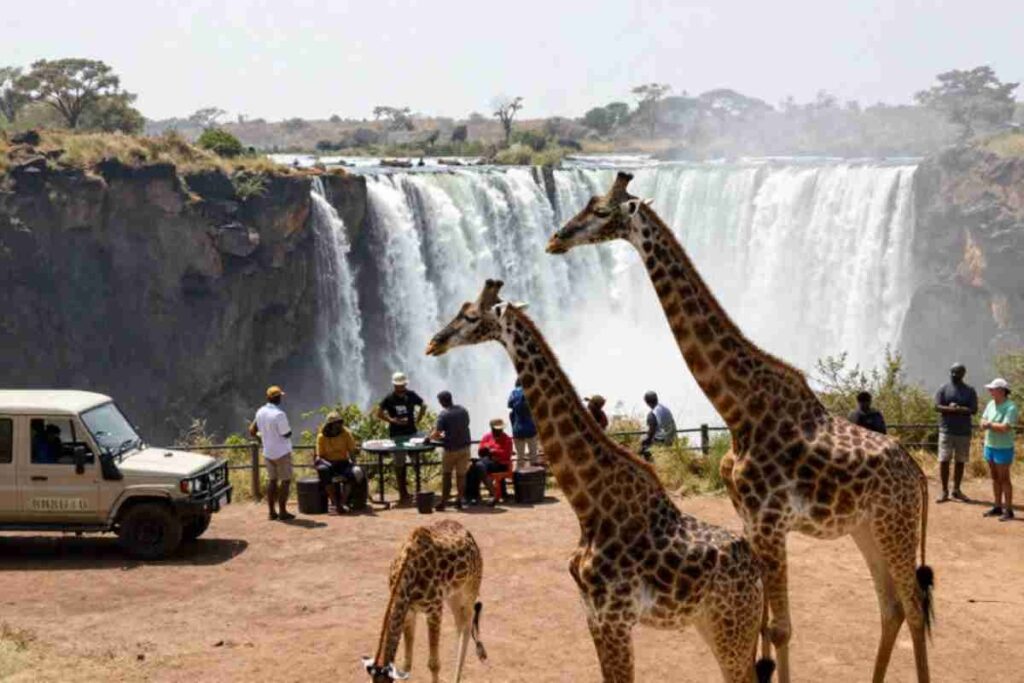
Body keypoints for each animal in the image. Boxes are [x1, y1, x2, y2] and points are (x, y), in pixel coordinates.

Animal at [363, 519, 487, 683]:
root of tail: (467, 532)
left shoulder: (434, 611)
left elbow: (434, 664)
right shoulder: (409, 611)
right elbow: (406, 664)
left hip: (470, 586)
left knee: (466, 624)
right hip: (453, 594)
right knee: (461, 625)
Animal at [426, 280, 775, 683]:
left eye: (470, 316)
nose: (433, 343)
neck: (590, 503)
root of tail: (757, 573)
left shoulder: (614, 617)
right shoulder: (593, 615)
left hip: (731, 625)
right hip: (715, 623)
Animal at [546, 172, 934, 683]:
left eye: (602, 211)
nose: (556, 238)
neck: (738, 406)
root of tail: (919, 473)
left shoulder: (770, 519)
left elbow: (782, 629)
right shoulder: (748, 518)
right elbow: (767, 628)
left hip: (895, 522)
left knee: (913, 606)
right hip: (866, 526)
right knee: (890, 607)